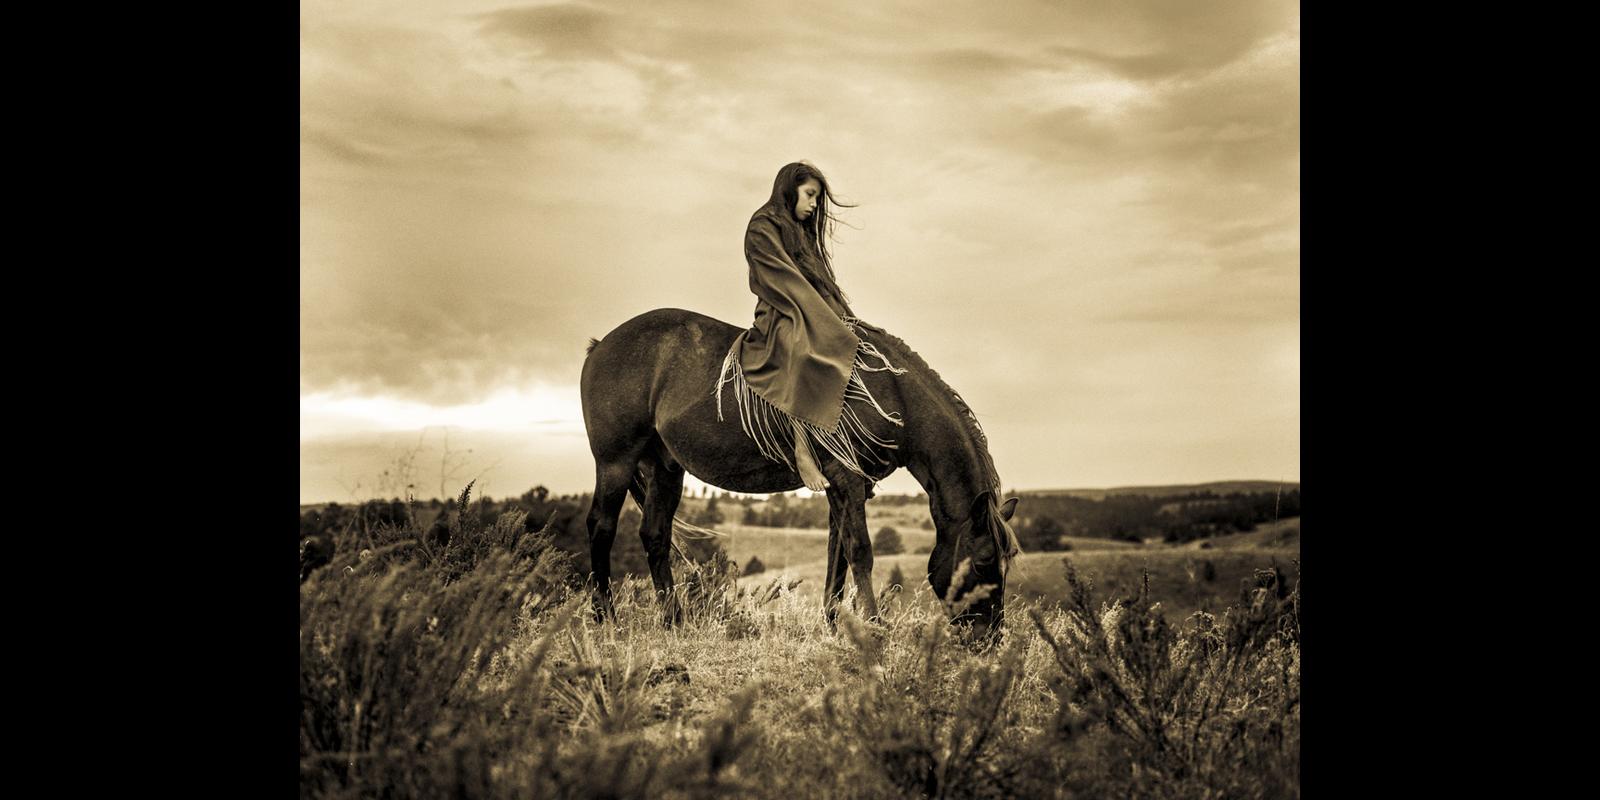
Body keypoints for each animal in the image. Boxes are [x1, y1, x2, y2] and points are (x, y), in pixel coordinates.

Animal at [579, 308, 1020, 638]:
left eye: (1008, 560)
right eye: (983, 562)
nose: (990, 638)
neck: (889, 391)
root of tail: (600, 346)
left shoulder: (843, 486)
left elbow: (836, 555)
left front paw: (834, 626)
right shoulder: (847, 479)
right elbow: (860, 552)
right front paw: (874, 625)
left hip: (665, 468)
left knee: (655, 535)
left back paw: (674, 622)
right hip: (615, 462)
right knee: (602, 527)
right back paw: (607, 620)